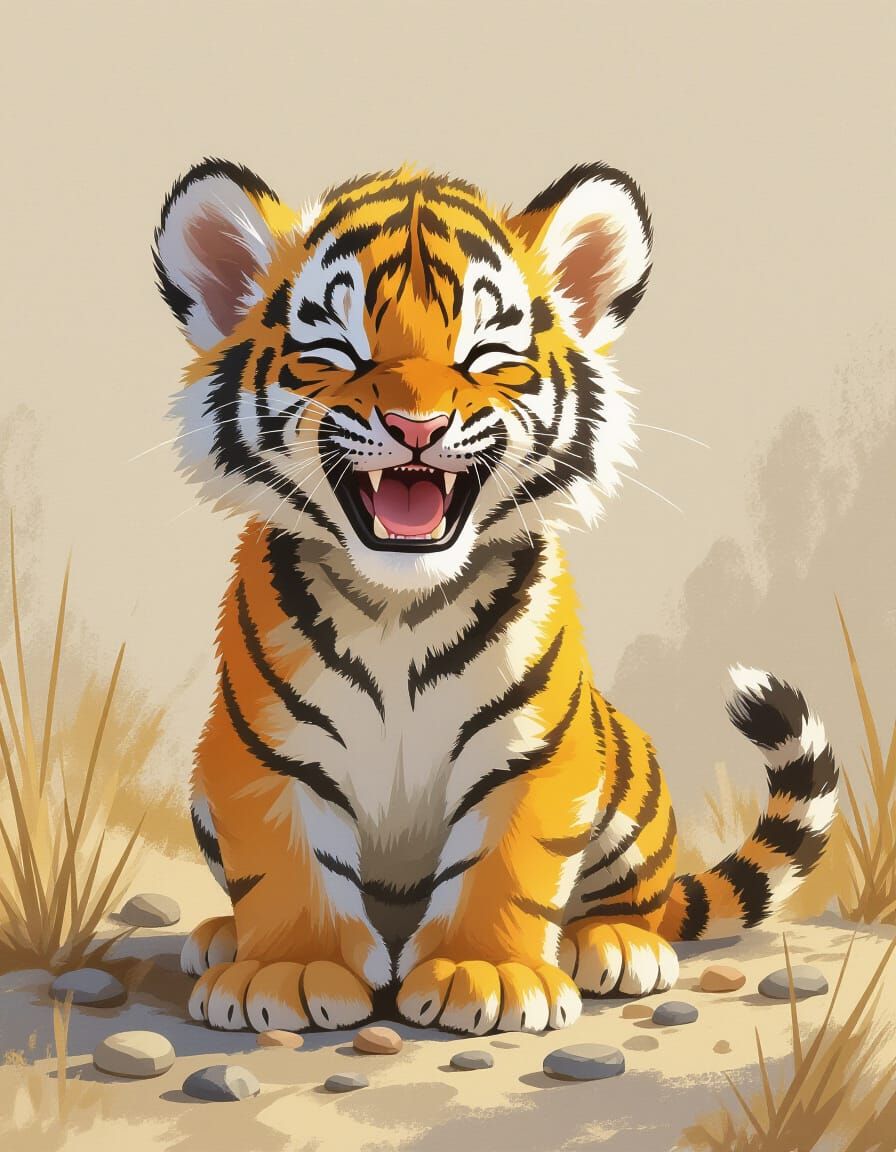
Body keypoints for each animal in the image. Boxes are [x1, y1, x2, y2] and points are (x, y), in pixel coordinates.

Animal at [153, 158, 839, 1035]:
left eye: (483, 355)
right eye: (338, 350)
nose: (416, 427)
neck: (396, 607)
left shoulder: (533, 750)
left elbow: (506, 862)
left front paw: (484, 974)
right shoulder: (263, 752)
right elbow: (285, 863)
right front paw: (289, 969)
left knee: (643, 902)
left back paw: (616, 944)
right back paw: (218, 938)